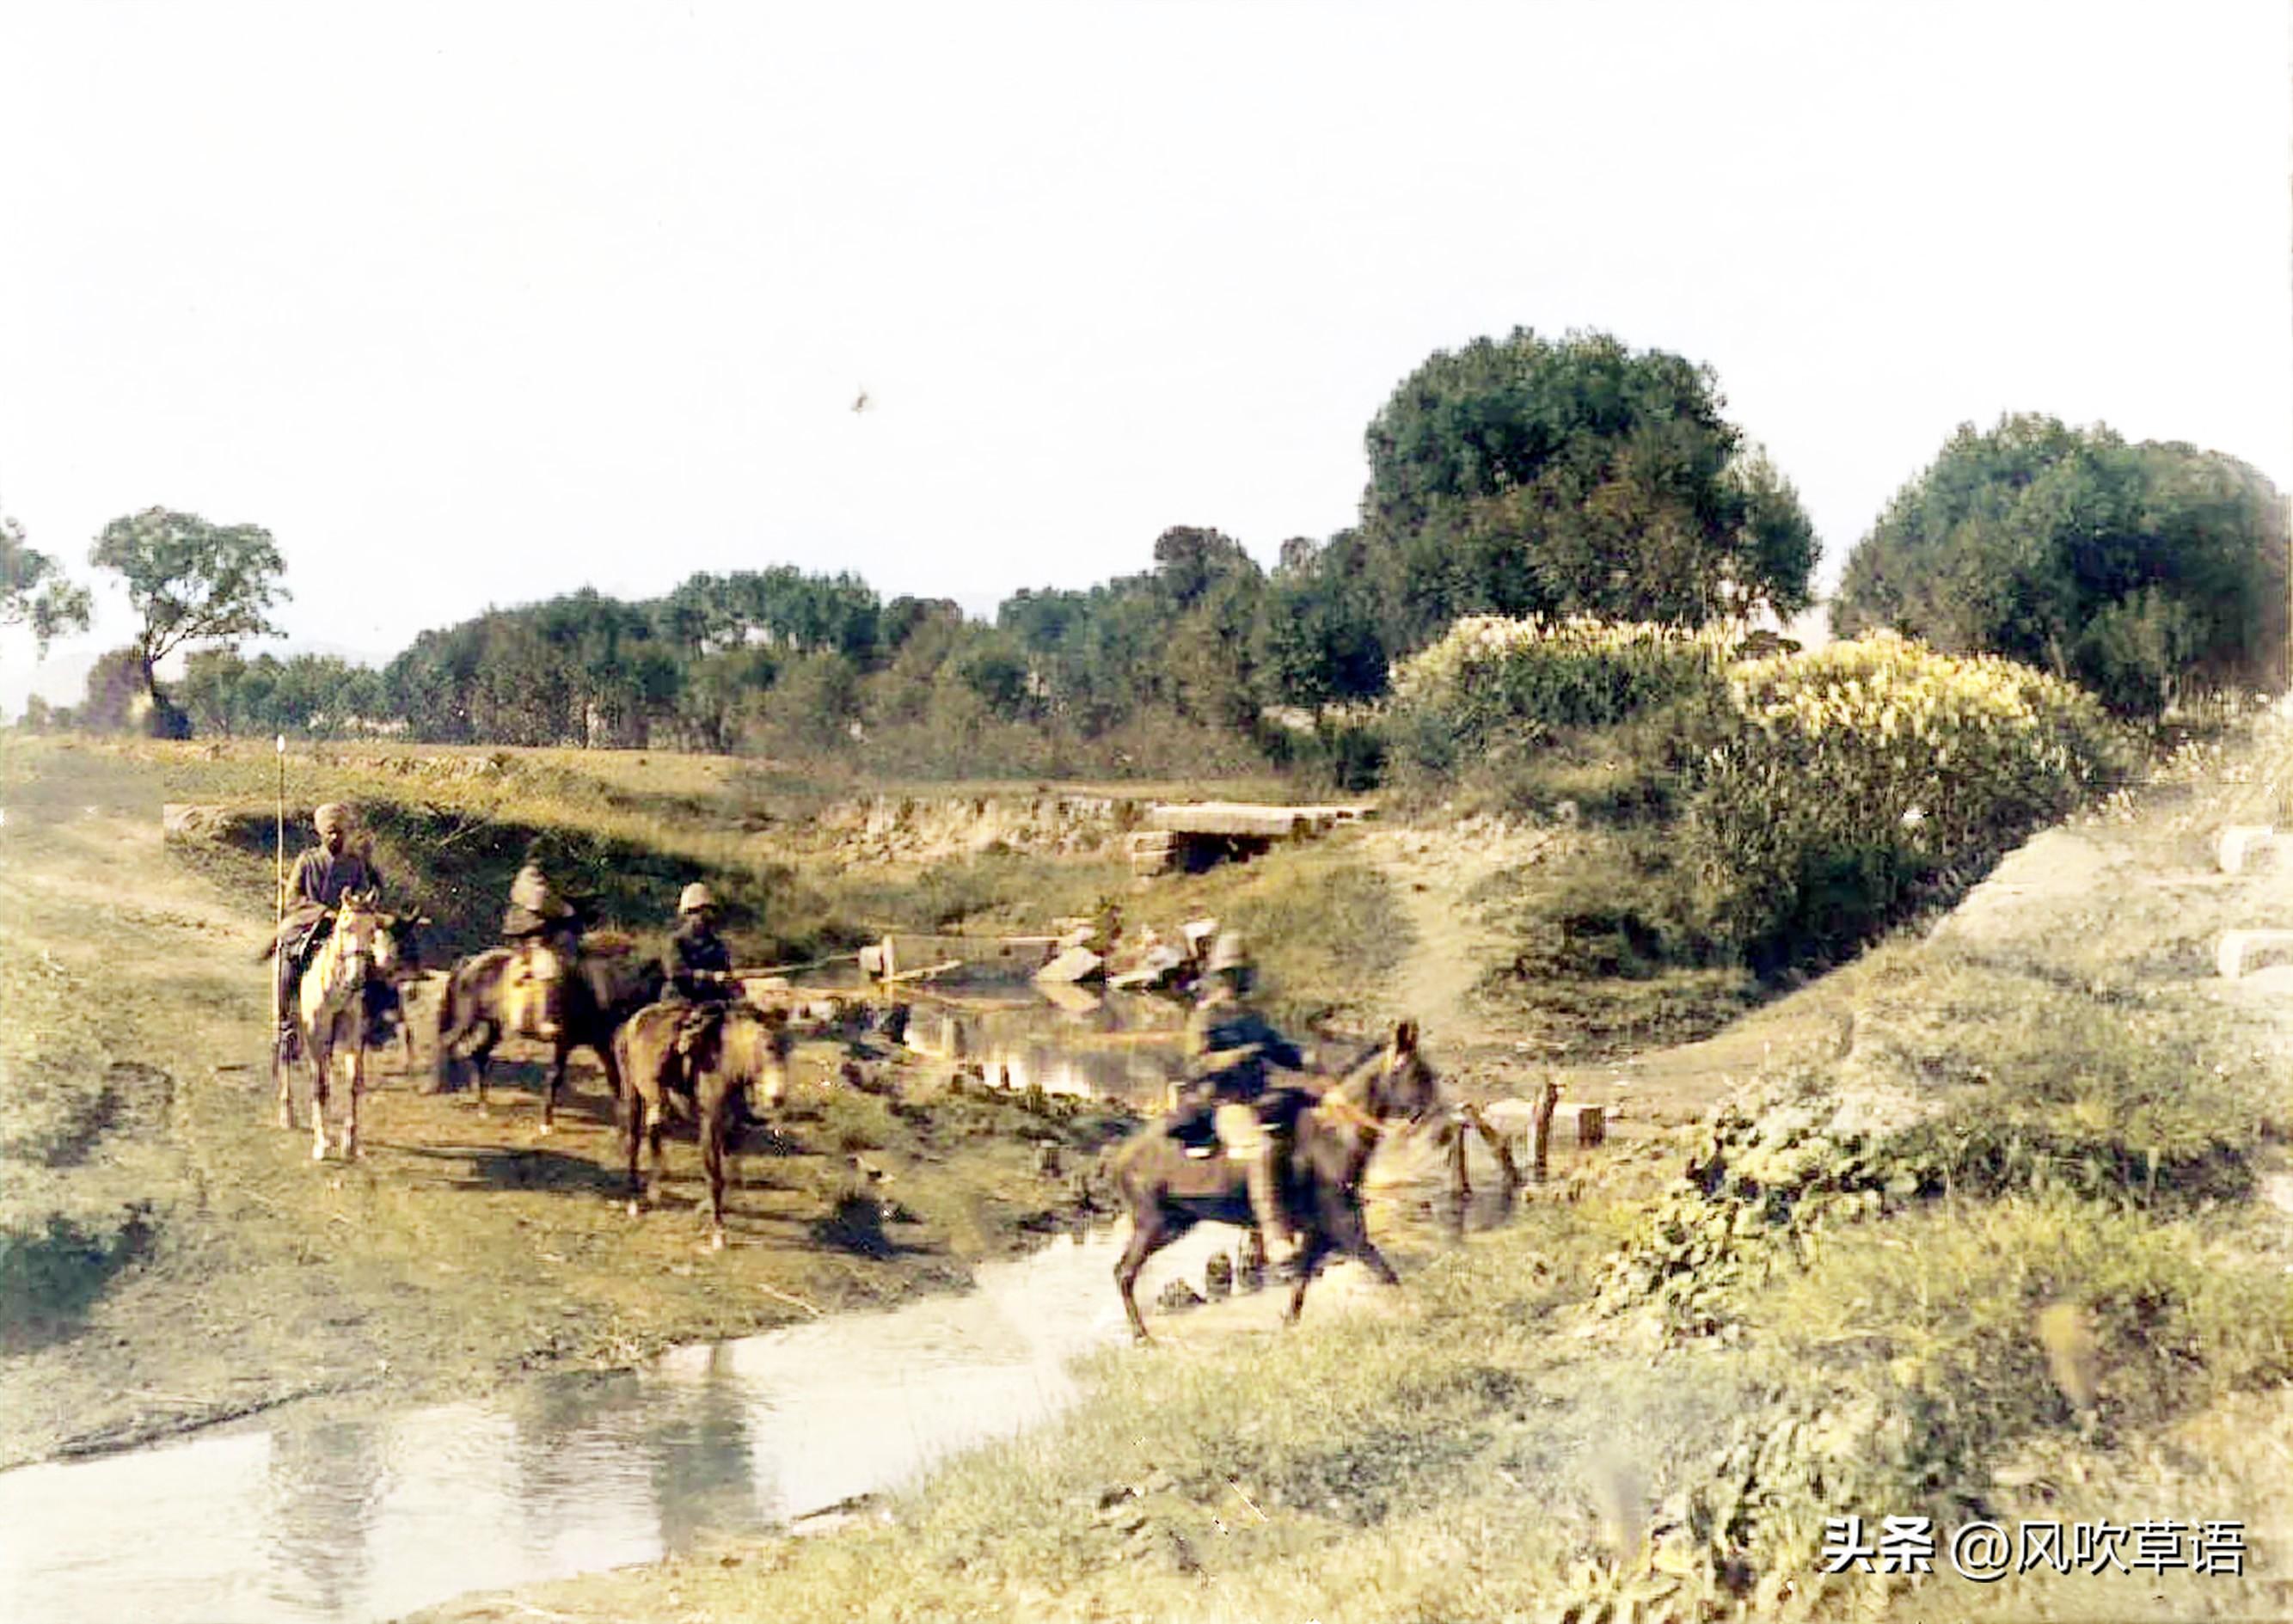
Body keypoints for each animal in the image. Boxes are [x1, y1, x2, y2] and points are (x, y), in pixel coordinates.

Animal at [273, 890, 408, 1165]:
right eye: (345, 927)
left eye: (372, 930)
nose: (356, 979)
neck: (335, 987)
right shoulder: (315, 1036)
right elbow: (319, 1086)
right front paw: (321, 1143)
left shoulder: (352, 1037)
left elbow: (353, 1084)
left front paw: (350, 1142)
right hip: (288, 1018)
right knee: (286, 1053)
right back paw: (287, 1114)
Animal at [431, 940, 665, 1128]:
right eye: (652, 986)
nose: (649, 1018)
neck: (593, 985)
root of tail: (470, 962)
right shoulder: (564, 1042)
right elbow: (555, 1077)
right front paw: (546, 1123)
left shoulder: (600, 1044)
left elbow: (614, 1077)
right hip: (465, 1020)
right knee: (445, 1043)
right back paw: (443, 1085)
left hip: (493, 1026)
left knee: (479, 1055)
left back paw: (482, 1108)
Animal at [614, 1000, 793, 1257]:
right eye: (768, 1046)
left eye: (789, 1049)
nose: (777, 1098)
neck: (727, 1064)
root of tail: (629, 1024)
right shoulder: (710, 1124)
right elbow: (715, 1177)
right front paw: (718, 1233)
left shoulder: (733, 1126)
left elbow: (730, 1174)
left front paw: (705, 1208)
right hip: (633, 1095)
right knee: (634, 1143)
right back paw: (633, 1202)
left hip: (657, 1103)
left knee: (655, 1134)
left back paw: (654, 1190)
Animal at [1109, 1014, 1431, 1348]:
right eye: (1419, 1074)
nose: (1426, 1113)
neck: (1337, 1136)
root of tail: (1119, 1158)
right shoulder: (1344, 1228)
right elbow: (1386, 1272)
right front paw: (1416, 1312)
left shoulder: (1320, 1232)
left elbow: (1301, 1282)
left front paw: (1288, 1326)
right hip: (1153, 1223)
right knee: (1124, 1273)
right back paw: (1141, 1335)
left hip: (1173, 1223)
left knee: (1124, 1272)